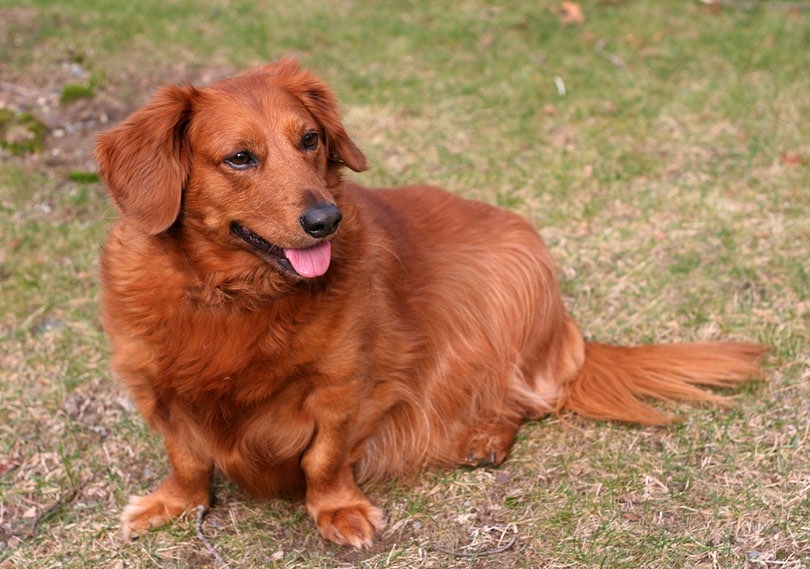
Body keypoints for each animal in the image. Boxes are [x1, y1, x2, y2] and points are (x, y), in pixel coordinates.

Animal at [94, 57, 764, 544]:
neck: (235, 299)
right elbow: (187, 457)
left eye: (309, 139)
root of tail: (567, 327)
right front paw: (174, 503)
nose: (326, 220)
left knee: (530, 398)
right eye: (239, 157)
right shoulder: (155, 388)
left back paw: (486, 436)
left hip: (503, 304)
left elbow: (323, 459)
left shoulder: (345, 385)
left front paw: (337, 510)